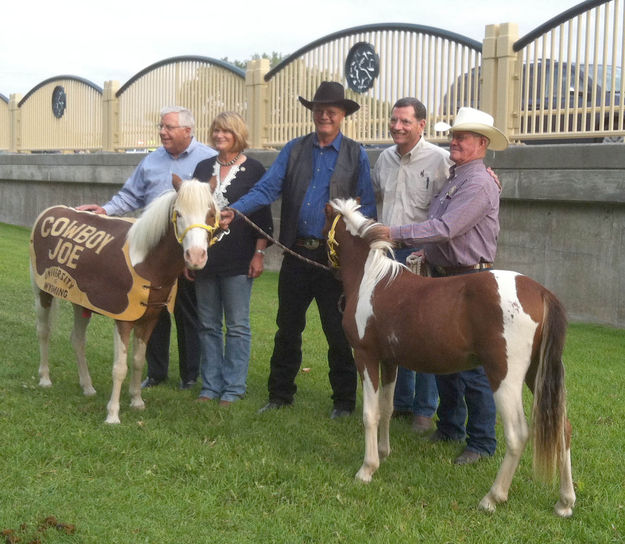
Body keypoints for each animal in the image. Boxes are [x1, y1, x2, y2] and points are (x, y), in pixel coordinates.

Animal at [31, 178, 223, 424]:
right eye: (178, 214)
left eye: (211, 214)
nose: (196, 257)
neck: (146, 262)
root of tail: (49, 212)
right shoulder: (123, 319)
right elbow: (120, 367)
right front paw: (113, 414)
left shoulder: (149, 319)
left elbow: (139, 361)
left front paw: (137, 401)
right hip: (42, 291)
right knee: (43, 331)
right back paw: (45, 378)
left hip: (81, 301)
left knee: (77, 340)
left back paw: (87, 387)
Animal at [324, 200, 572, 520]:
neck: (372, 280)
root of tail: (540, 291)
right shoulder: (390, 361)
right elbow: (387, 408)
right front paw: (384, 452)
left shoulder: (365, 356)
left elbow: (370, 413)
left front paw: (367, 469)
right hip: (537, 374)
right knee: (562, 428)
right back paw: (565, 502)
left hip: (504, 376)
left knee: (517, 434)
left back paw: (492, 498)